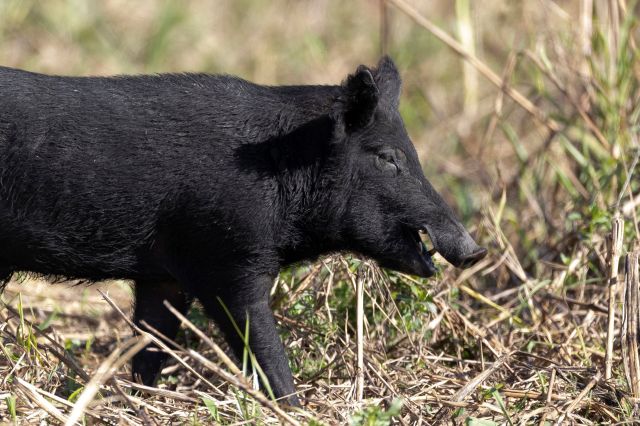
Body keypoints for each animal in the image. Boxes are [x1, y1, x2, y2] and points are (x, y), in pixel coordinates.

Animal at [0, 57, 486, 406]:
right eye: (387, 157)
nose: (475, 250)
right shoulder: (229, 261)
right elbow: (262, 348)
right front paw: (294, 407)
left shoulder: (164, 277)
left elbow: (152, 343)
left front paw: (141, 400)